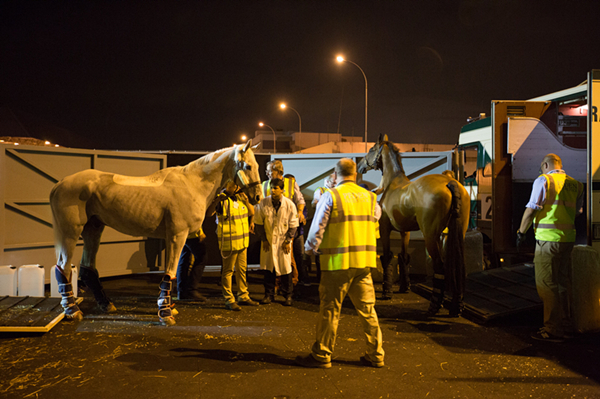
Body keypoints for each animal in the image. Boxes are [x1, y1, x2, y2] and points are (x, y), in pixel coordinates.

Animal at [52, 141, 264, 324]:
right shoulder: (178, 236)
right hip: (70, 232)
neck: (192, 184)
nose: (258, 197)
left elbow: (172, 274)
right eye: (247, 166)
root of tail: (59, 184)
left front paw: (169, 307)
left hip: (94, 228)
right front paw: (165, 312)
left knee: (87, 268)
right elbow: (170, 273)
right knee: (63, 267)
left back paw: (105, 304)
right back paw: (72, 310)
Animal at [356, 136, 468, 318]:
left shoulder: (385, 229)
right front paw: (404, 286)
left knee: (440, 267)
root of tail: (451, 182)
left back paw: (434, 307)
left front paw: (387, 291)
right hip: (454, 234)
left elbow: (387, 257)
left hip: (431, 237)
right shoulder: (405, 231)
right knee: (458, 267)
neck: (392, 183)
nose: (360, 165)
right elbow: (403, 256)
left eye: (372, 149)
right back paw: (456, 307)